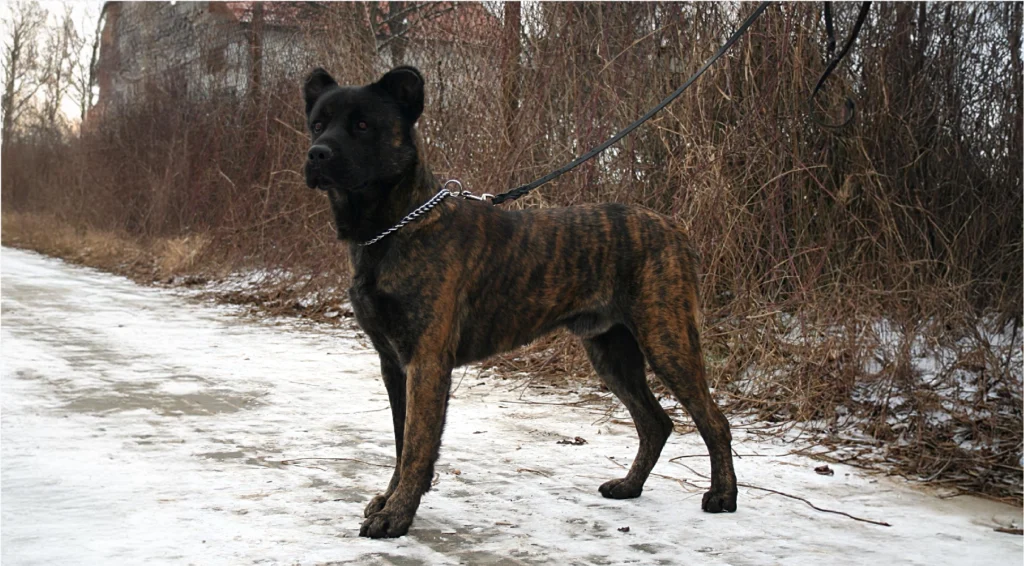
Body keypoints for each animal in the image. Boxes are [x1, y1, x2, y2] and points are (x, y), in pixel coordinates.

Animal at [301, 66, 737, 540]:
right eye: (318, 124)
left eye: (363, 125)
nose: (317, 154)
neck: (394, 227)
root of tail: (673, 227)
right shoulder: (393, 363)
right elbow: (402, 441)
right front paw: (391, 499)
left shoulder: (426, 361)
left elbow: (416, 445)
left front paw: (397, 514)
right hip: (612, 353)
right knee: (655, 422)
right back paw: (629, 486)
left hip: (667, 340)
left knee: (714, 421)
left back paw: (723, 496)